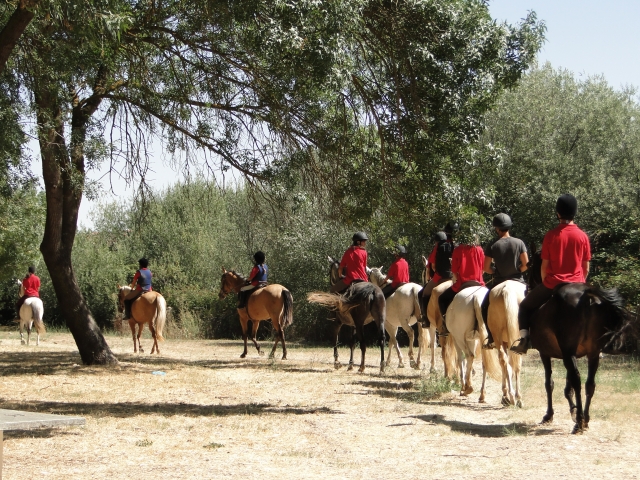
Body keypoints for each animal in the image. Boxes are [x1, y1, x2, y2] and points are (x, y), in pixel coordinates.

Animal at [524, 246, 636, 434]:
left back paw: (579, 422)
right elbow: (567, 386)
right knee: (590, 384)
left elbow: (550, 383)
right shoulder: (572, 354)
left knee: (577, 380)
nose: (527, 288)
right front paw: (574, 409)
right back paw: (586, 419)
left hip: (569, 351)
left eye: (531, 266)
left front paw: (550, 415)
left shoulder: (545, 353)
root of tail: (587, 295)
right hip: (593, 353)